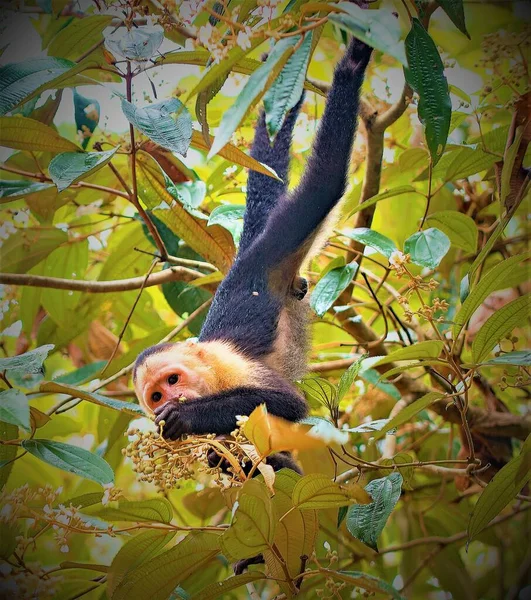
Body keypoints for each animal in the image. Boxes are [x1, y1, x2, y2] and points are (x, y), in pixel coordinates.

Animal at [134, 35, 374, 474]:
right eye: (155, 396)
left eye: (173, 381)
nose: (171, 400)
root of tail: (244, 261)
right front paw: (219, 455)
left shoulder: (230, 366)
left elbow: (287, 403)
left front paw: (187, 416)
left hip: (278, 244)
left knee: (324, 184)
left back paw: (351, 66)